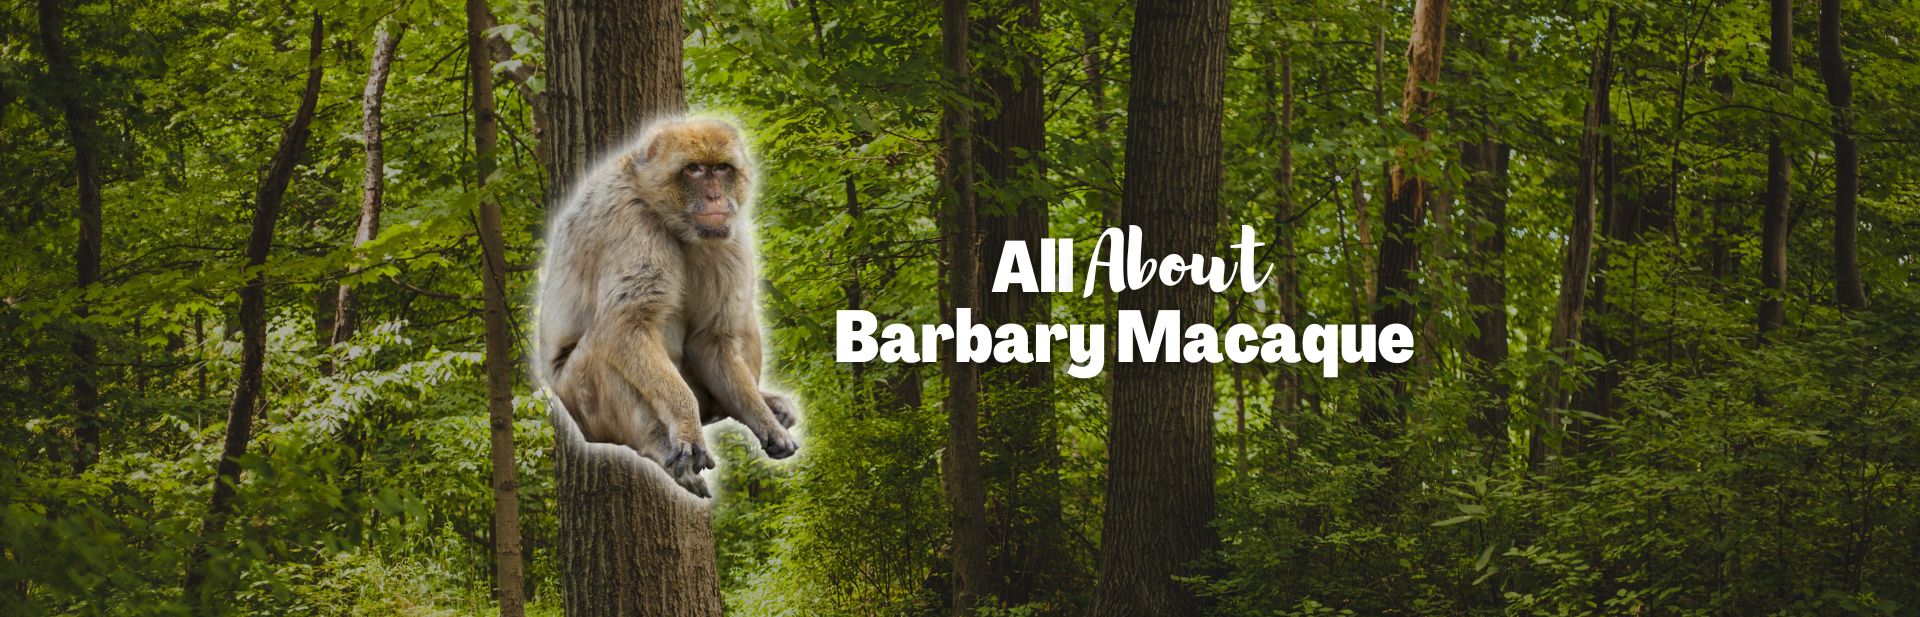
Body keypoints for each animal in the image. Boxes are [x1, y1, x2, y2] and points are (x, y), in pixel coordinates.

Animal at [536, 116, 799, 498]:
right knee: (604, 346)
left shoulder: (728, 238)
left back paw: (755, 404)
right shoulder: (633, 226)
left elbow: (712, 339)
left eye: (721, 168)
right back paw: (657, 444)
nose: (715, 196)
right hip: (580, 401)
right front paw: (686, 424)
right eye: (693, 169)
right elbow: (627, 326)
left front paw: (762, 419)